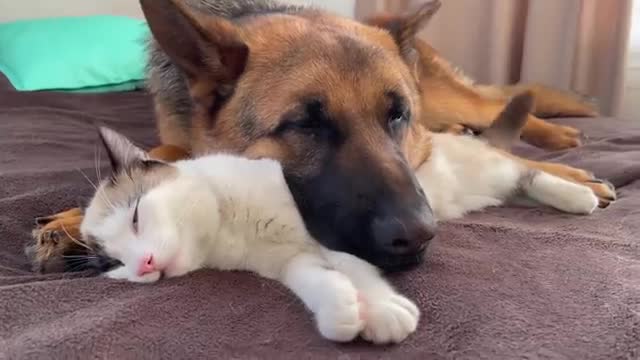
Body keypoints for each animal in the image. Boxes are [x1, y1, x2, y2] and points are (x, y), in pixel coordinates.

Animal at [30, 0, 616, 272]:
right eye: (306, 123)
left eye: (395, 115)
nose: (418, 238)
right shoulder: (177, 134)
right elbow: (163, 155)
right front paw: (72, 219)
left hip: (446, 99)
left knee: (501, 105)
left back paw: (567, 148)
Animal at [79, 95, 600, 344]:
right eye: (114, 265)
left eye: (137, 217)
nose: (144, 265)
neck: (229, 225)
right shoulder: (291, 261)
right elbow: (319, 283)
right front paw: (344, 313)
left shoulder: (333, 236)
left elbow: (359, 272)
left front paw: (383, 313)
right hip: (481, 191)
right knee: (518, 186)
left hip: (485, 169)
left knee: (528, 173)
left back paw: (580, 196)